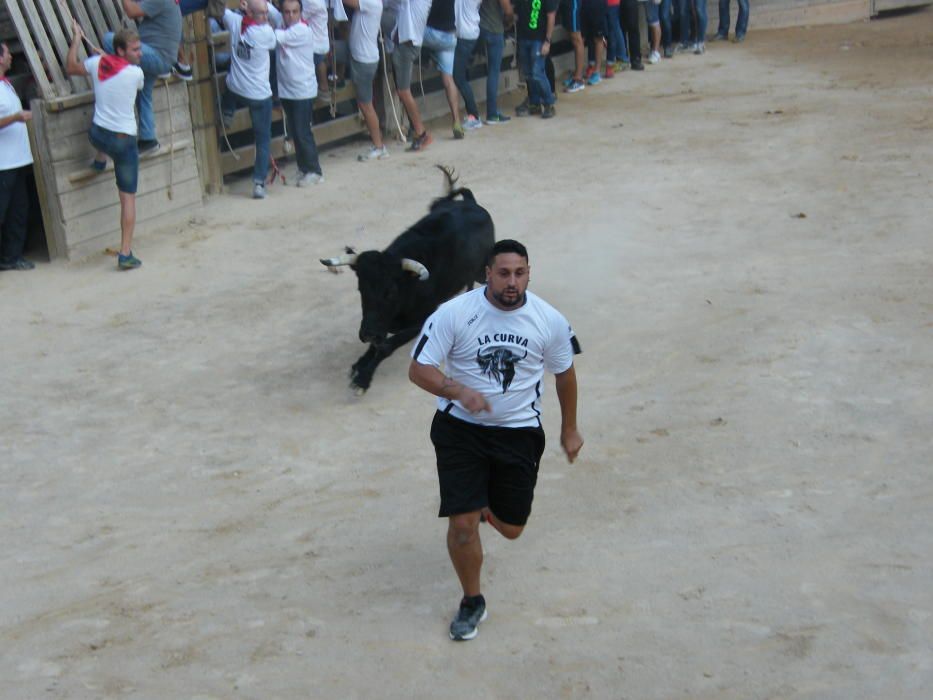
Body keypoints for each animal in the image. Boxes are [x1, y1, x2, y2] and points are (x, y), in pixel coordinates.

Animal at [320, 180, 496, 392]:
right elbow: (378, 344)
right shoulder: (382, 324)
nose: (368, 334)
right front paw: (359, 365)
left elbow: (387, 346)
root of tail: (471, 202)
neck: (407, 287)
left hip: (482, 271)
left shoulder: (421, 321)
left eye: (390, 292)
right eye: (360, 288)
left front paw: (363, 379)